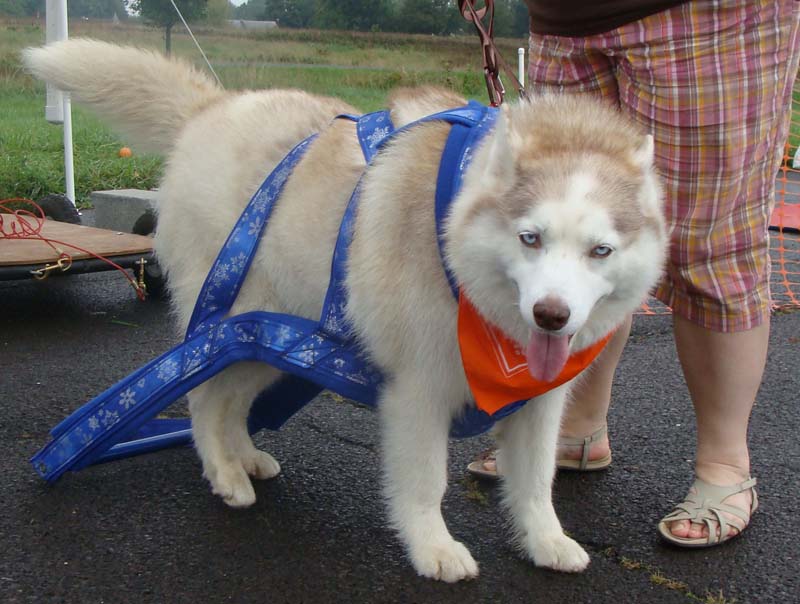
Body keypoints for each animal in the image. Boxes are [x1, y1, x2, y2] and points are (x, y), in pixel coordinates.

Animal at [23, 40, 668, 584]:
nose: (551, 315)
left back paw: (244, 457)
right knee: (205, 397)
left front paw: (545, 541)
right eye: (530, 238)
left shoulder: (540, 400)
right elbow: (425, 481)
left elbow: (536, 482)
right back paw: (225, 473)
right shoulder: (418, 389)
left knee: (232, 404)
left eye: (600, 250)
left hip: (273, 345)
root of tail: (216, 105)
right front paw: (432, 547)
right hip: (236, 329)